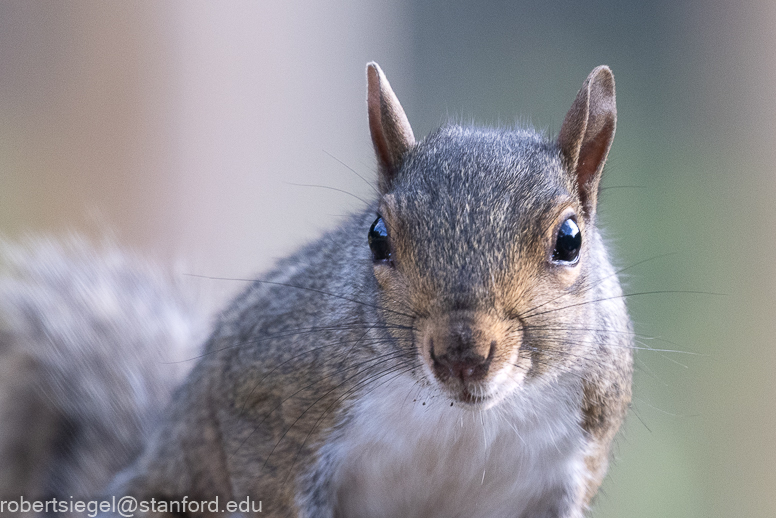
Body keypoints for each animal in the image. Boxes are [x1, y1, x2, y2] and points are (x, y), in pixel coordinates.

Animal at [0, 65, 632, 518]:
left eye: (570, 239)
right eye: (377, 236)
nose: (463, 354)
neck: (460, 419)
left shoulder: (576, 456)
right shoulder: (269, 399)